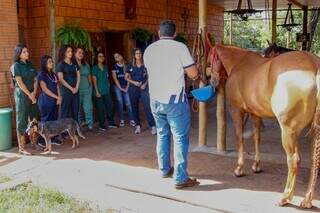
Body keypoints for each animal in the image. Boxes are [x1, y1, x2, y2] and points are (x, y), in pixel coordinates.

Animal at [208, 43, 320, 208]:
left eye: (210, 58)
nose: (213, 81)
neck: (238, 63)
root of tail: (314, 65)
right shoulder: (255, 113)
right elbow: (257, 137)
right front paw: (256, 166)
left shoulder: (236, 110)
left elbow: (239, 137)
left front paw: (239, 169)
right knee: (314, 159)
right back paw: (307, 200)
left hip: (288, 131)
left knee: (293, 160)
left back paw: (285, 197)